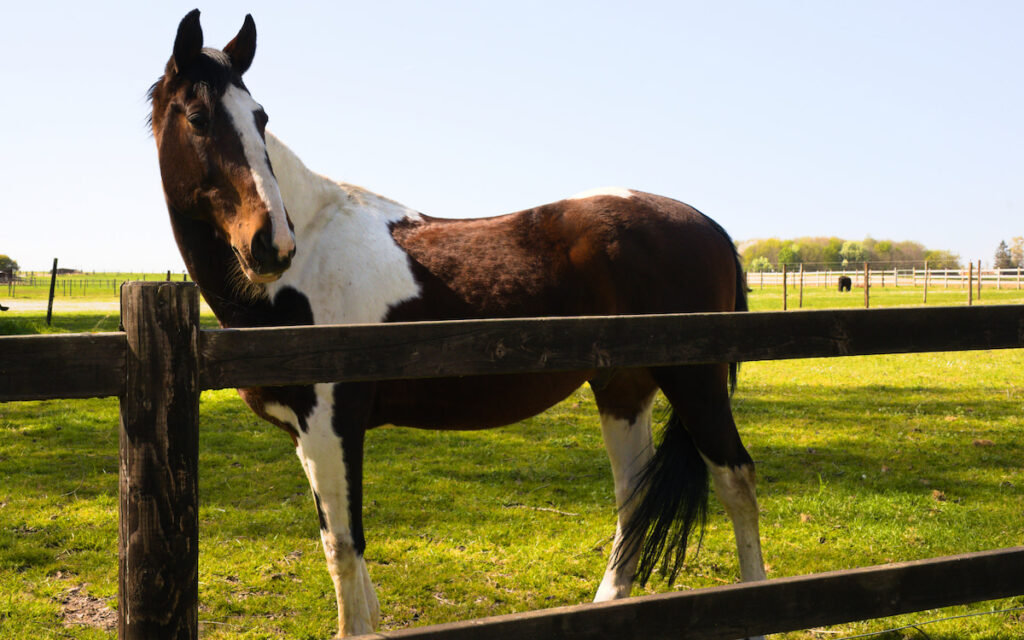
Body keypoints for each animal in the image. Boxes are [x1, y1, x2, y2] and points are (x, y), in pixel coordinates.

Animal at [148, 8, 765, 634]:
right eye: (198, 117)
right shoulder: (309, 433)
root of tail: (710, 227)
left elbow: (342, 548)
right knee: (633, 497)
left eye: (261, 118)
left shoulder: (331, 425)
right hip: (623, 388)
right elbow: (351, 554)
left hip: (694, 381)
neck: (312, 255)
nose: (271, 245)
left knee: (735, 480)